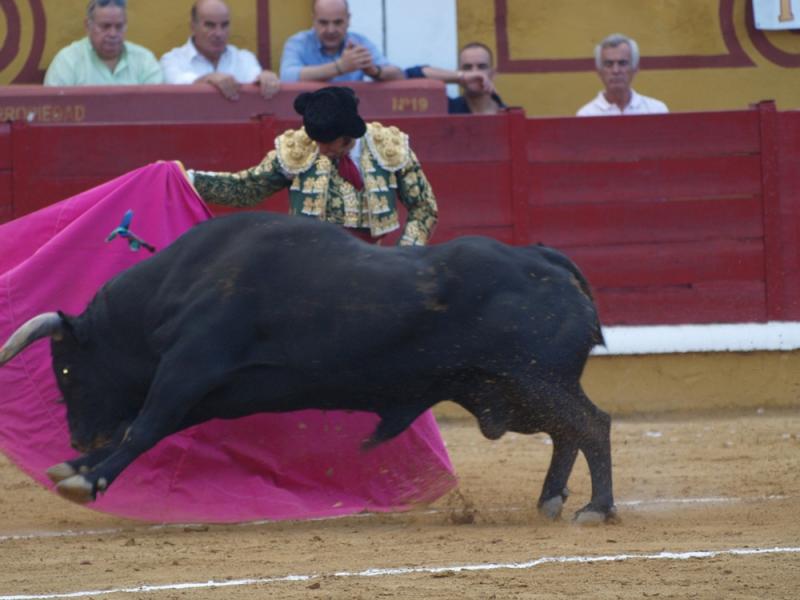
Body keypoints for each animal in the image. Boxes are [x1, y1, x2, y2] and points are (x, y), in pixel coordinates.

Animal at [0, 213, 616, 524]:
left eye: (65, 372)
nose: (79, 435)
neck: (176, 285)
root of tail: (543, 257)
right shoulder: (211, 390)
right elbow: (148, 426)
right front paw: (75, 465)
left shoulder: (190, 367)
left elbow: (145, 425)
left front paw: (86, 477)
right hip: (510, 390)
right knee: (569, 430)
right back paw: (551, 500)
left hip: (535, 379)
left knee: (592, 424)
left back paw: (595, 508)